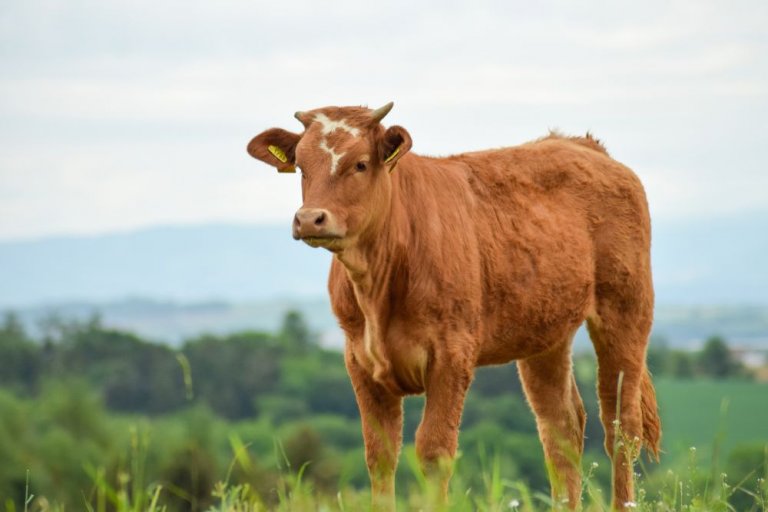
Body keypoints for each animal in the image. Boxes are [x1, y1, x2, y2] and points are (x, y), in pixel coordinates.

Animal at [247, 102, 660, 511]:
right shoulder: (359, 359)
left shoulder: (451, 354)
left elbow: (434, 451)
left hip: (626, 309)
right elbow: (379, 454)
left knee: (621, 427)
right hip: (545, 335)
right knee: (562, 428)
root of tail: (579, 144)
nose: (309, 218)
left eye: (360, 164)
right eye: (301, 166)